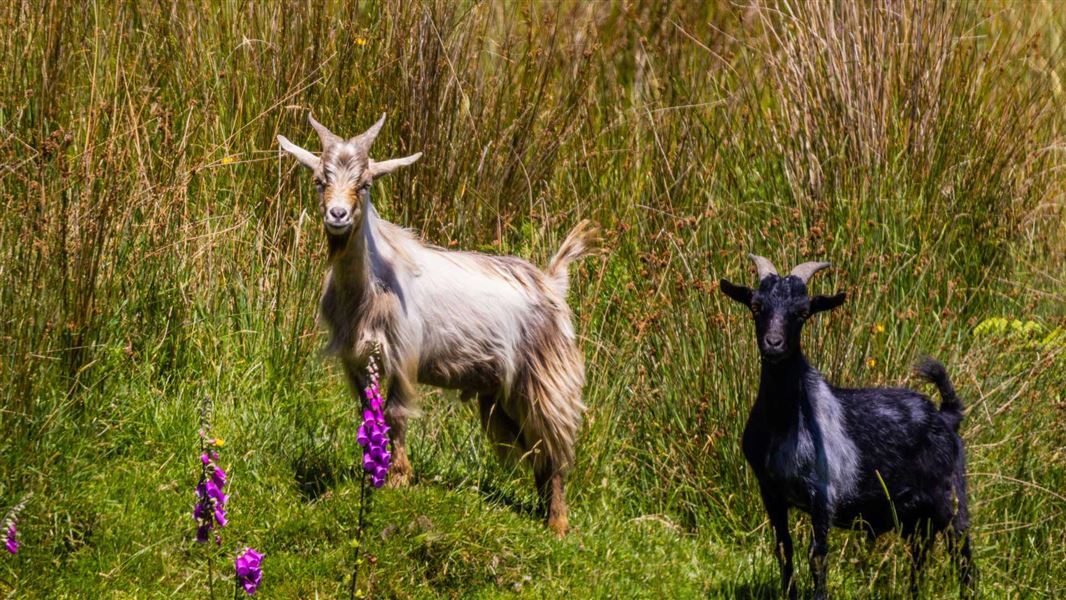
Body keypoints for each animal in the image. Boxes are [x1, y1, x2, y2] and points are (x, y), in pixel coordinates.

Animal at [277, 113, 598, 536]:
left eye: (365, 184)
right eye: (319, 179)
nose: (337, 216)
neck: (370, 284)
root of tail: (552, 283)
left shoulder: (401, 354)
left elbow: (395, 414)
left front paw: (397, 477)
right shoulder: (355, 358)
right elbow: (368, 412)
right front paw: (371, 469)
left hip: (547, 378)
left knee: (555, 445)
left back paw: (558, 525)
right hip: (502, 396)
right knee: (538, 449)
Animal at [719, 255, 974, 599]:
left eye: (802, 312)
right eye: (756, 306)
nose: (774, 344)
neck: (785, 421)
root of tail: (947, 417)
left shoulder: (823, 493)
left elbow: (817, 555)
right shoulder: (770, 491)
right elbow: (784, 548)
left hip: (951, 497)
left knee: (963, 555)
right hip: (914, 514)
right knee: (920, 555)